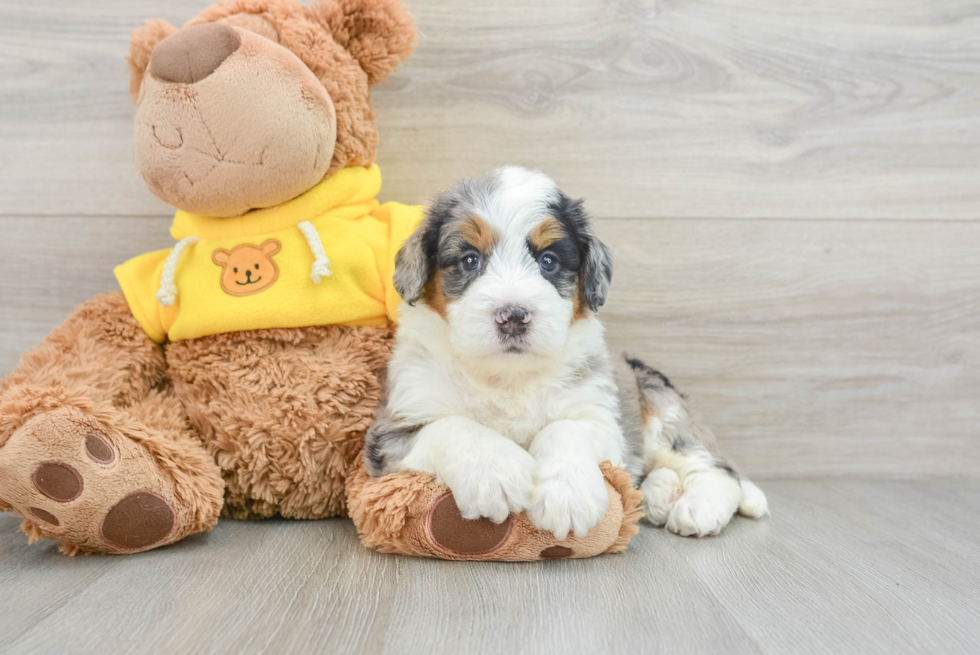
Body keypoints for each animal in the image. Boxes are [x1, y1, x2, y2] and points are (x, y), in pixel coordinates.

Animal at [364, 168, 768, 540]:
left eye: (548, 261)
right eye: (469, 260)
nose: (513, 316)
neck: (507, 376)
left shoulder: (600, 417)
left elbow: (565, 429)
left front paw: (567, 496)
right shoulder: (390, 431)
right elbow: (453, 425)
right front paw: (496, 472)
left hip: (662, 415)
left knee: (719, 469)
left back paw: (698, 508)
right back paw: (659, 494)